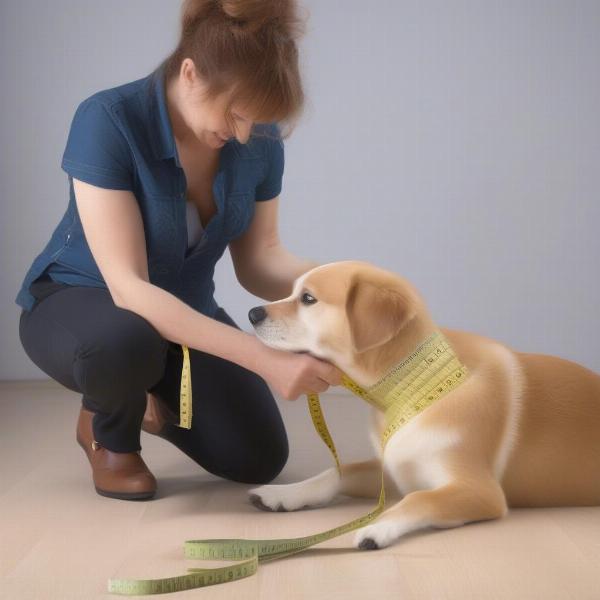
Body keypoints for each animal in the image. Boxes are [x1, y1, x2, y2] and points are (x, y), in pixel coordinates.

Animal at [245, 260, 600, 552]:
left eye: (308, 299)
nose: (252, 314)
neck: (413, 387)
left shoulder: (480, 490)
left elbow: (421, 498)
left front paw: (378, 528)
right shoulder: (394, 469)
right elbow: (336, 472)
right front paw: (283, 494)